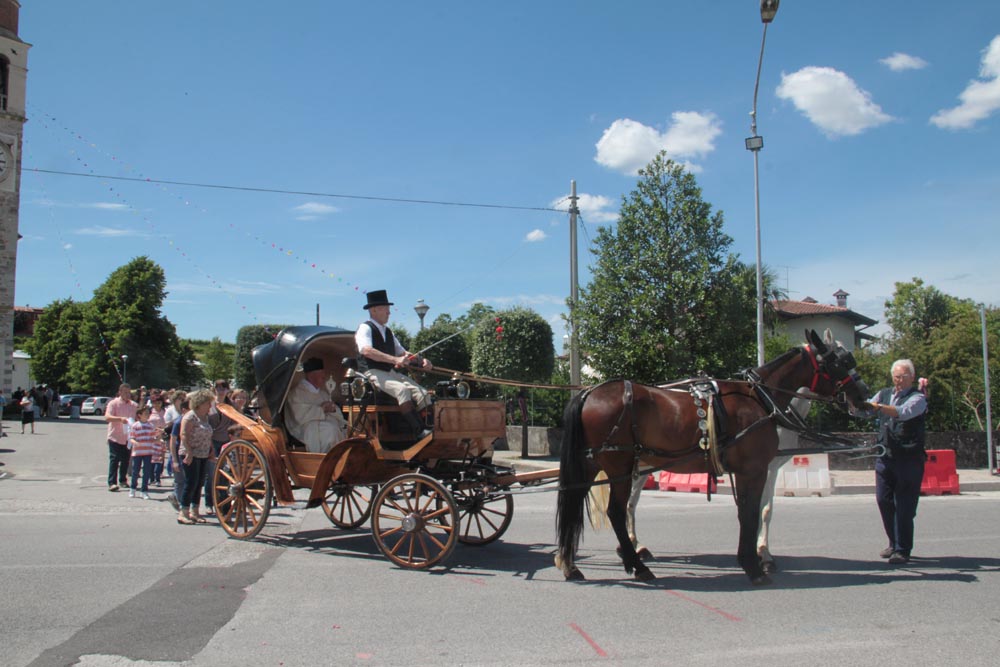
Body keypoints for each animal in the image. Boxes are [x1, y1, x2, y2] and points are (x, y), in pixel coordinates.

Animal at [555, 329, 868, 585]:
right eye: (840, 361)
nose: (863, 395)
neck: (761, 398)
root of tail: (589, 392)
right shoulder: (756, 469)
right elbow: (755, 511)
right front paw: (756, 563)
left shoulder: (754, 469)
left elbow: (751, 512)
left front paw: (754, 557)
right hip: (619, 465)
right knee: (618, 512)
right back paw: (637, 564)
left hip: (594, 464)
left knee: (579, 503)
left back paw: (573, 563)